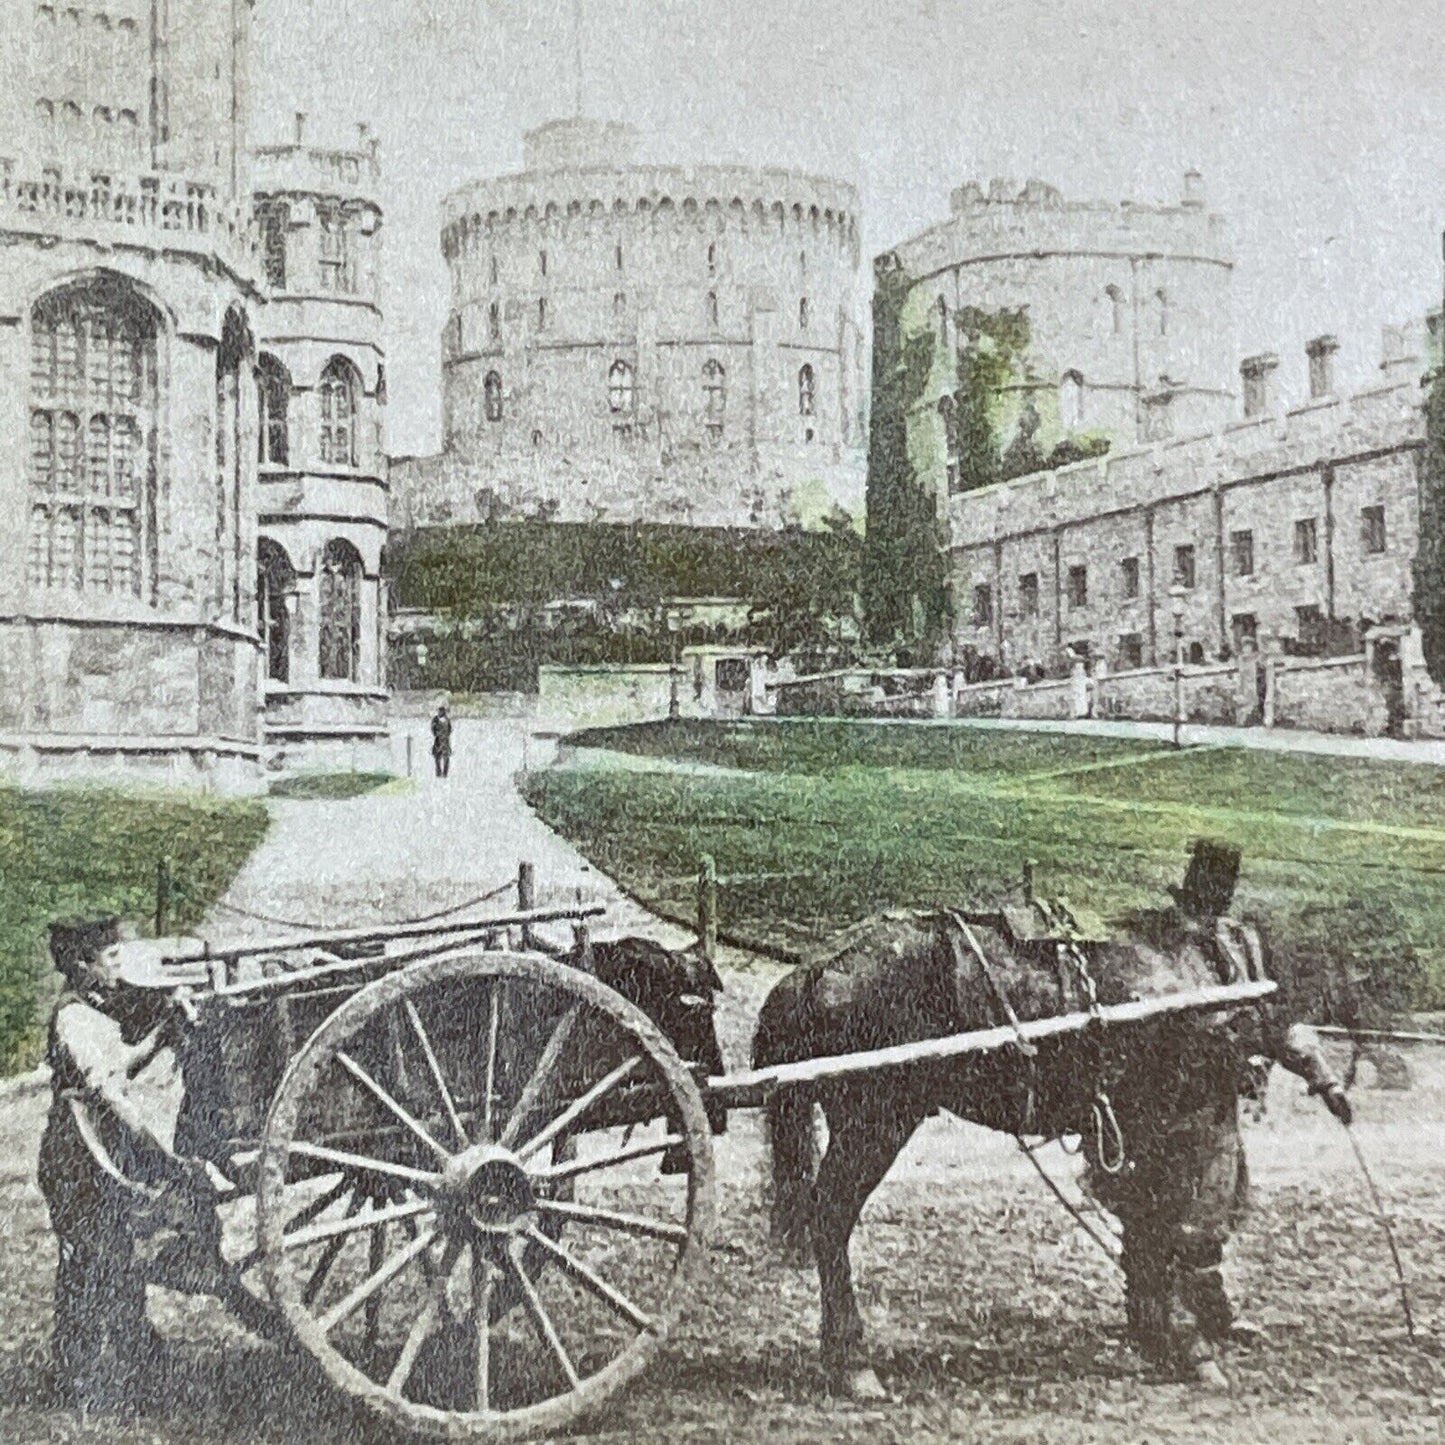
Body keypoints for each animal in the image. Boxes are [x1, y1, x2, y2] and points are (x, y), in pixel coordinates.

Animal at [751, 843, 1346, 1392]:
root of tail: (812, 971)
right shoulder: (1178, 1122)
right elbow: (1171, 1227)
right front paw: (1188, 1343)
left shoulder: (1140, 1128)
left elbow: (1149, 1231)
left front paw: (1161, 1333)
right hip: (875, 1122)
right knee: (831, 1217)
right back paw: (853, 1361)